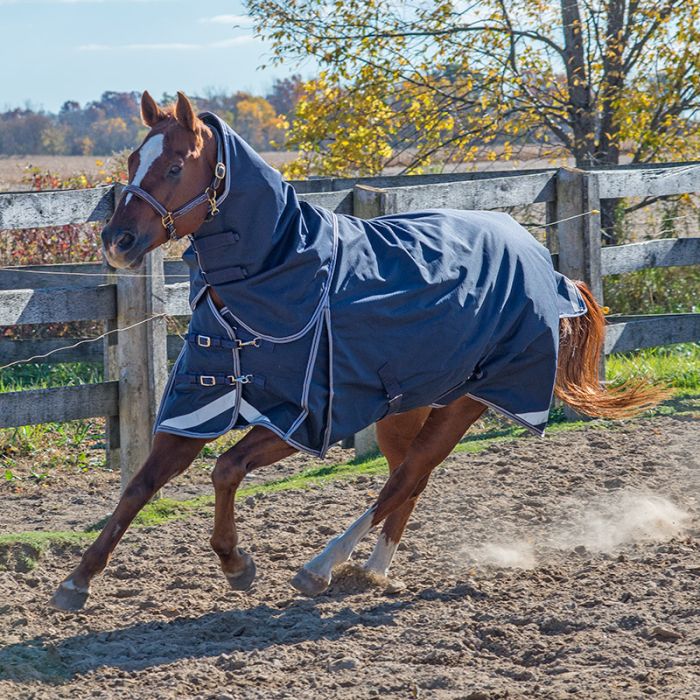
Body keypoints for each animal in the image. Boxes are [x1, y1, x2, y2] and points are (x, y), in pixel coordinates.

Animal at [50, 90, 668, 608]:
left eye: (175, 166)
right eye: (133, 161)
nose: (117, 241)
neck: (279, 277)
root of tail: (548, 268)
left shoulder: (301, 419)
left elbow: (226, 469)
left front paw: (236, 563)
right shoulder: (196, 406)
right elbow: (139, 487)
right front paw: (77, 580)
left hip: (466, 403)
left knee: (403, 479)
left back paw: (321, 566)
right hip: (408, 409)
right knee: (410, 483)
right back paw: (370, 570)